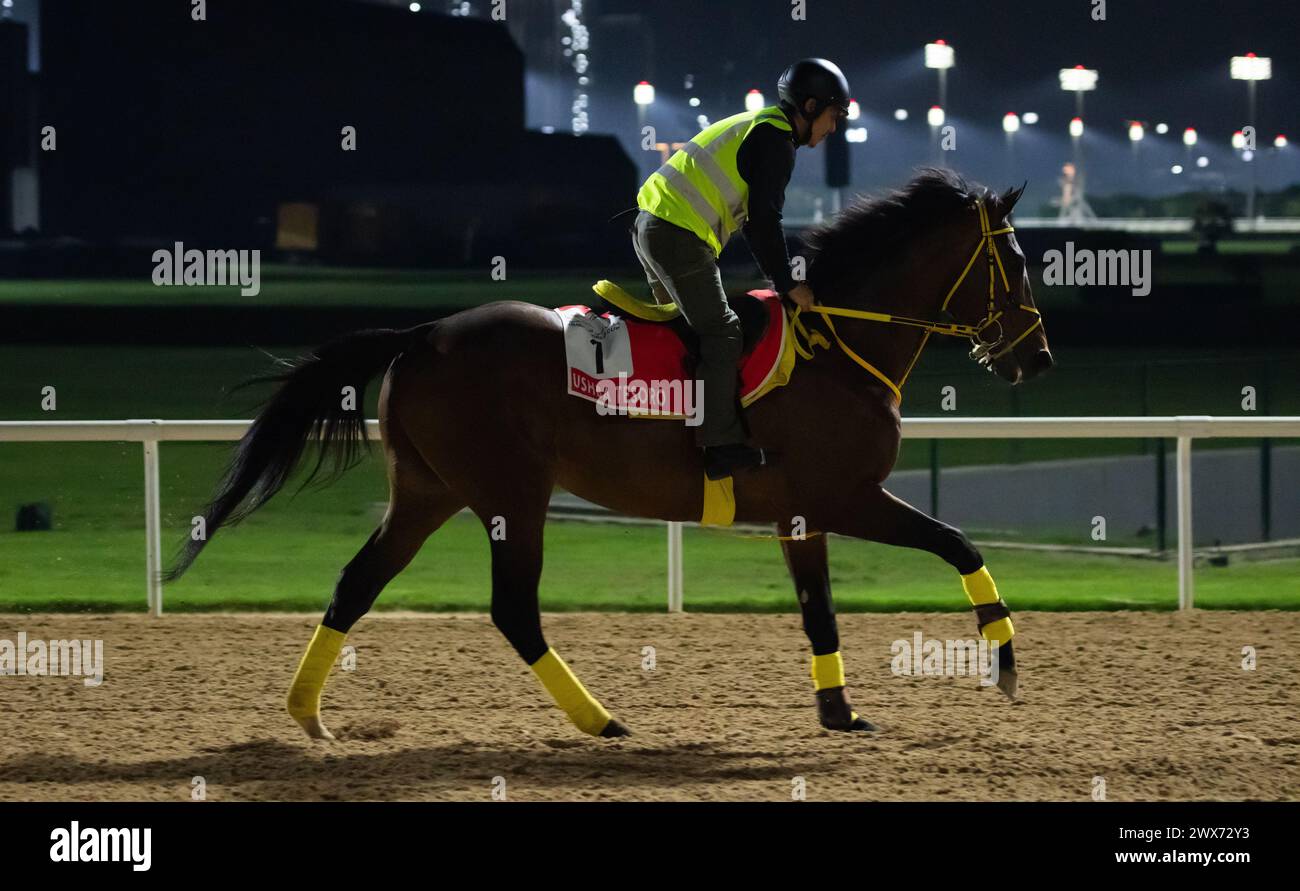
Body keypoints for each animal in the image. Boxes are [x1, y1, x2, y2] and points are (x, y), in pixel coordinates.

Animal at [165, 166, 1055, 738]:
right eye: (1014, 259)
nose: (1036, 357)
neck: (837, 343)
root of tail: (424, 333)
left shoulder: (801, 514)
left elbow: (820, 612)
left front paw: (839, 712)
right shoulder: (847, 494)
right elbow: (960, 544)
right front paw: (1005, 661)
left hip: (426, 491)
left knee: (357, 581)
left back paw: (309, 713)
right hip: (510, 496)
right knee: (513, 609)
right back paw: (601, 719)